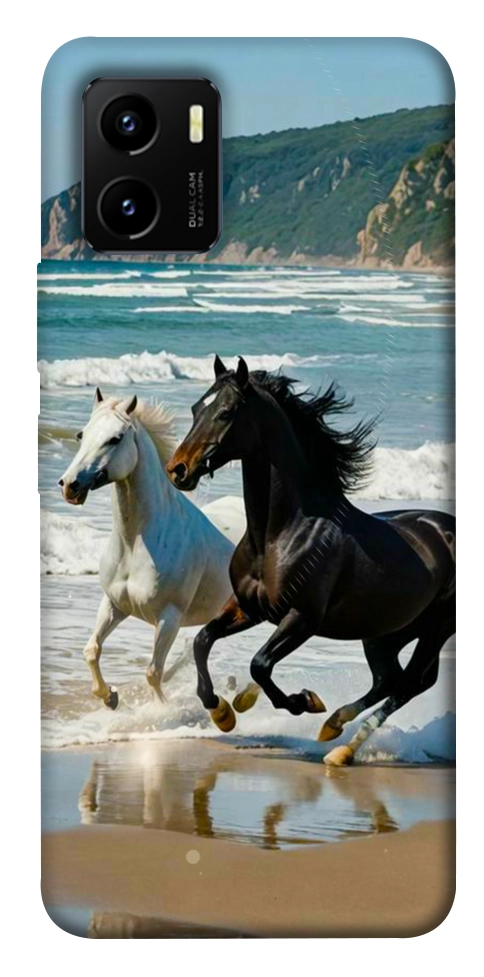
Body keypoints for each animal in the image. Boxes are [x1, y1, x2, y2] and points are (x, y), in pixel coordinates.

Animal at [59, 387, 234, 708]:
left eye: (115, 438)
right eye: (81, 434)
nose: (69, 485)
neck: (135, 544)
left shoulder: (169, 618)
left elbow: (153, 672)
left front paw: (161, 711)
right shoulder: (114, 604)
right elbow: (91, 650)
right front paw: (110, 697)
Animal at [166, 356, 455, 765]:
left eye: (225, 413)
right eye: (195, 409)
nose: (178, 469)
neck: (280, 534)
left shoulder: (302, 618)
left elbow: (260, 663)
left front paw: (303, 701)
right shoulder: (248, 608)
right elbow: (202, 641)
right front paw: (222, 712)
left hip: (435, 629)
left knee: (411, 683)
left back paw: (341, 746)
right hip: (386, 632)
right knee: (390, 679)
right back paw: (334, 728)